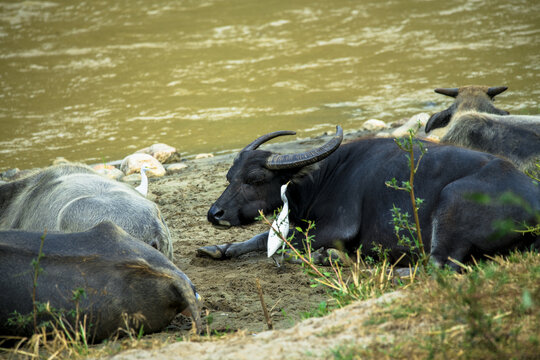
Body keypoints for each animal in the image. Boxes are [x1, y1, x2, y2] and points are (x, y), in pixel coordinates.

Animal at [200, 126, 540, 270]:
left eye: (255, 179)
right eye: (229, 177)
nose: (215, 214)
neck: (323, 178)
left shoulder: (338, 227)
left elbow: (282, 241)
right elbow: (263, 237)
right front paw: (217, 249)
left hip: (452, 202)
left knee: (438, 264)